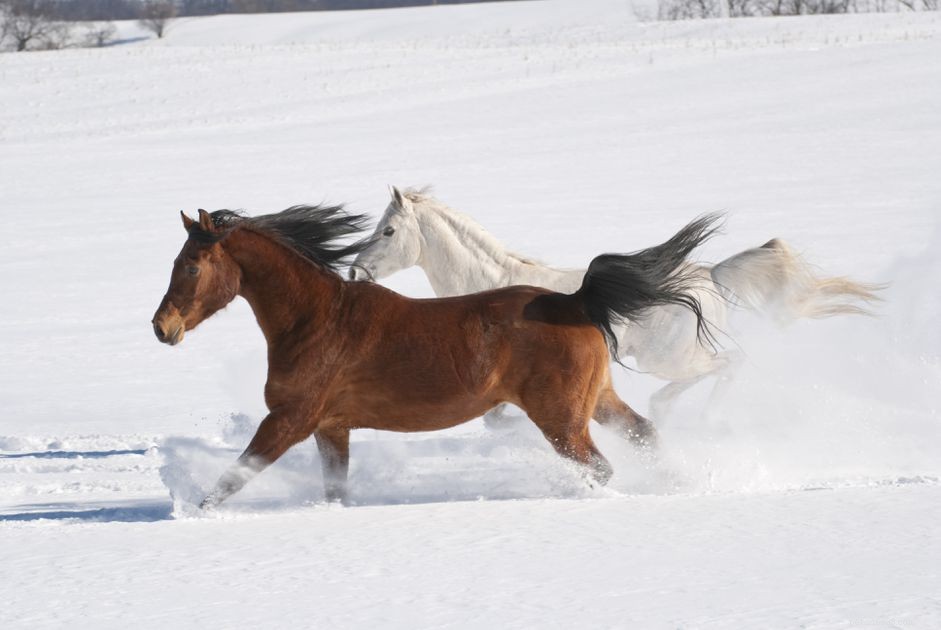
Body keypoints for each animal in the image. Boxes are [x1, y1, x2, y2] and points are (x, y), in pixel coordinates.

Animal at [152, 204, 718, 508]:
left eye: (192, 266)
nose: (162, 328)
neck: (317, 320)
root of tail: (578, 300)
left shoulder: (289, 419)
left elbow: (231, 478)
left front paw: (189, 511)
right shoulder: (331, 427)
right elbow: (335, 489)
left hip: (560, 418)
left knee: (599, 466)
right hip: (596, 401)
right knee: (645, 434)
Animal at [350, 186, 883, 421]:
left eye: (388, 231)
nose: (356, 270)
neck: (494, 285)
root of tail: (708, 277)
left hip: (669, 358)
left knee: (729, 363)